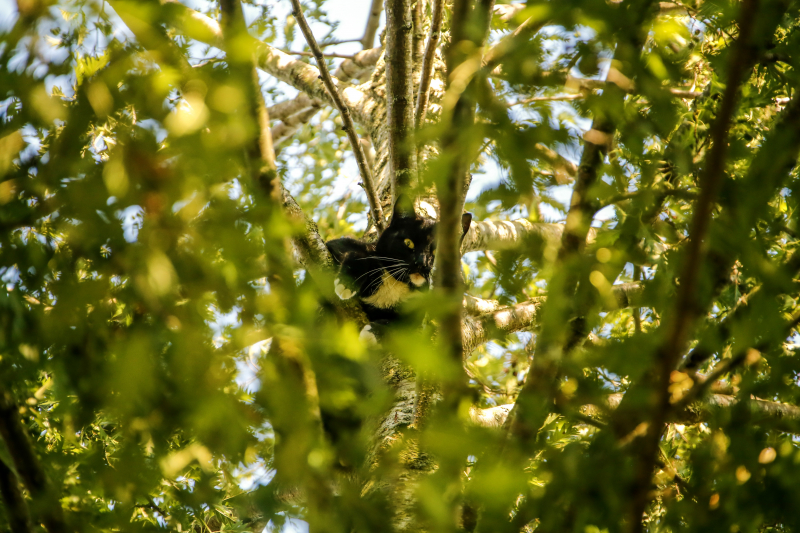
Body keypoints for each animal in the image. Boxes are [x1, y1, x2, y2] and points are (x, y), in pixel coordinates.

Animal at [324, 194, 472, 326]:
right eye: (408, 243)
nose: (421, 262)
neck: (395, 282)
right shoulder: (340, 245)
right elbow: (358, 253)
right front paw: (347, 284)